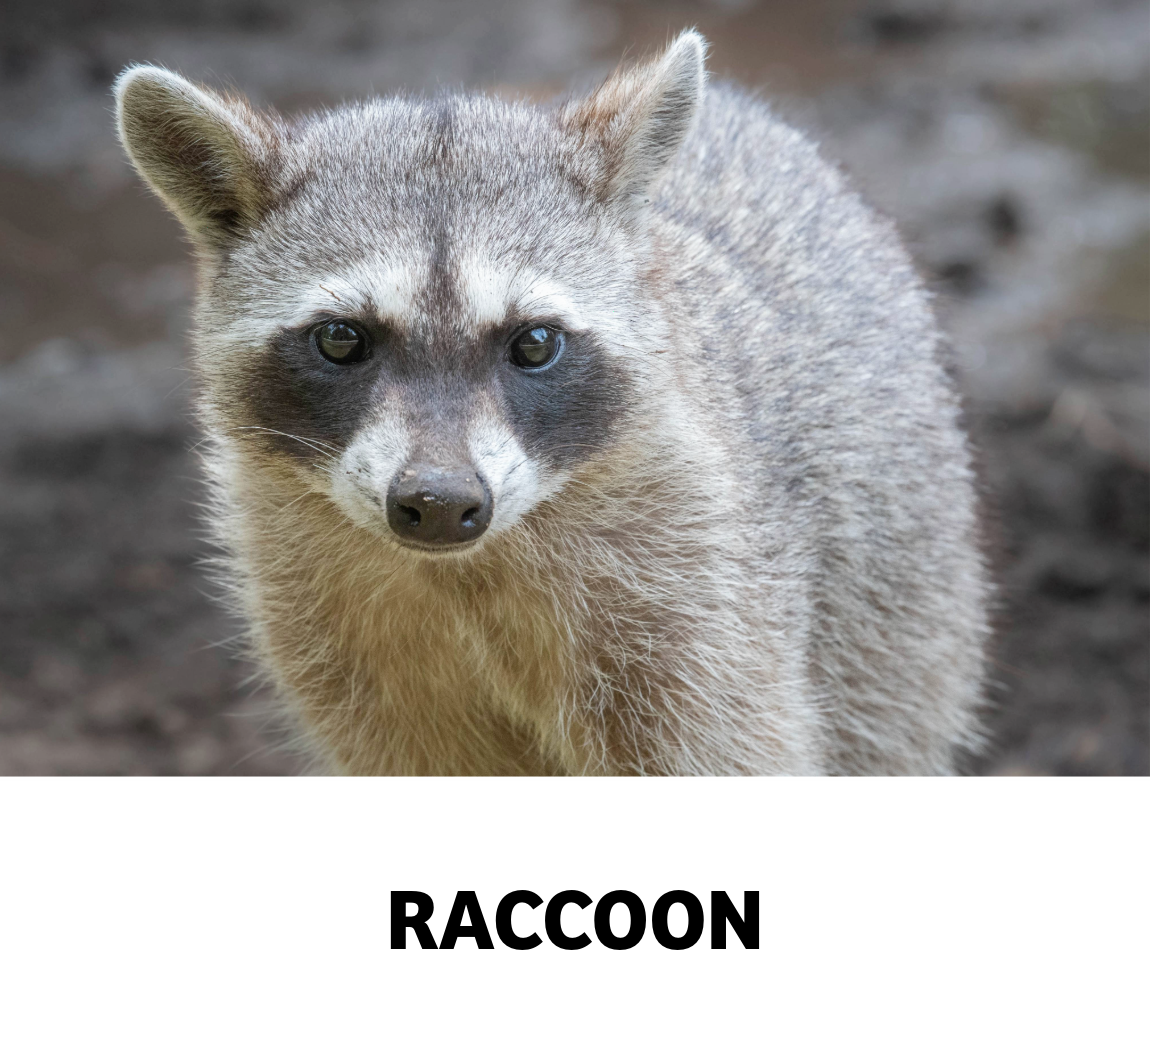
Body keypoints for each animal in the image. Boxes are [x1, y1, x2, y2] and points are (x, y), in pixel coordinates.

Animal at [114, 31, 989, 775]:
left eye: (534, 343)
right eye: (339, 339)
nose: (439, 504)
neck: (463, 570)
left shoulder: (702, 600)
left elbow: (727, 747)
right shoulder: (326, 626)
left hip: (897, 588)